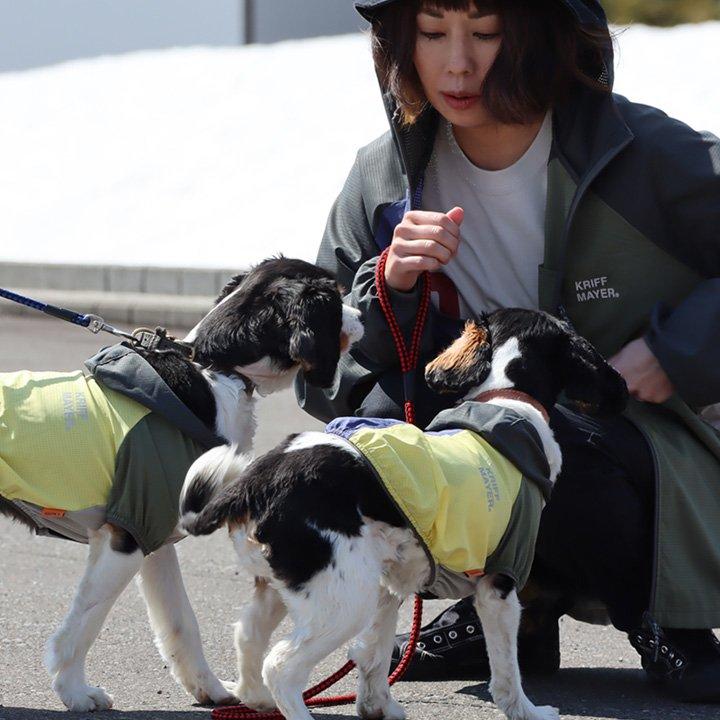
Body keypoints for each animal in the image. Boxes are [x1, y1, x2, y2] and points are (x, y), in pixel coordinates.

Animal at [0, 258, 360, 716]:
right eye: (334, 297)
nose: (361, 314)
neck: (215, 374)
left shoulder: (153, 536)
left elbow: (181, 622)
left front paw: (210, 689)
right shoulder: (124, 539)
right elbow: (84, 625)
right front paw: (75, 691)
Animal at [179, 308, 624, 720]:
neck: (505, 400)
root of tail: (260, 478)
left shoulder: (390, 583)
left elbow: (373, 654)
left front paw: (377, 707)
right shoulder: (497, 586)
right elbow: (506, 670)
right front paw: (527, 711)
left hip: (286, 584)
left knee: (248, 638)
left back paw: (257, 699)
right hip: (343, 598)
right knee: (282, 666)